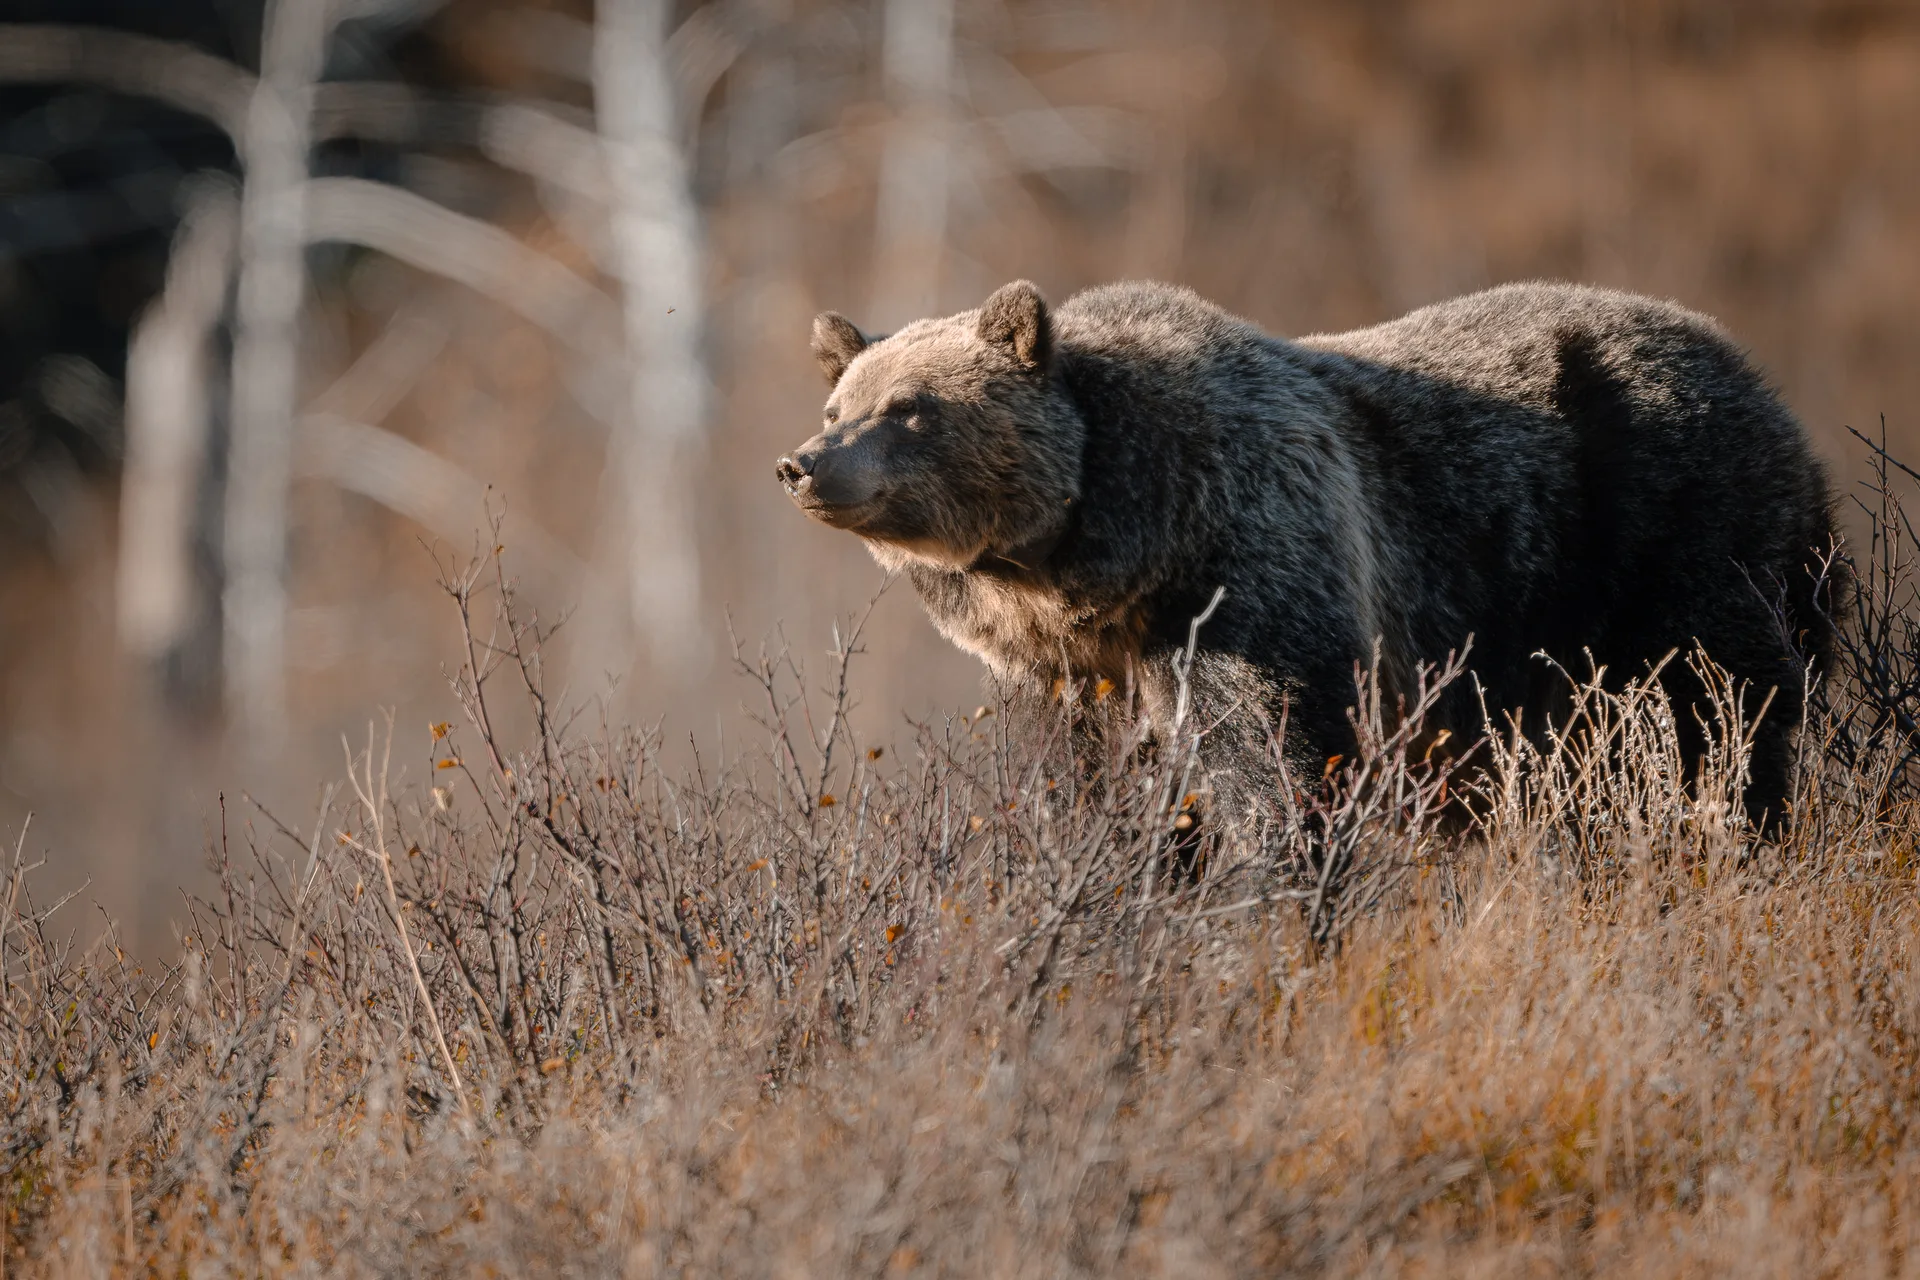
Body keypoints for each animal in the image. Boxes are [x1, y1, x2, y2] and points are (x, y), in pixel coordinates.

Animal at [776, 278, 1834, 829]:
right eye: (838, 404)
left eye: (909, 407)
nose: (804, 463)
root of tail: (1752, 368)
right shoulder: (1077, 671)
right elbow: (1091, 774)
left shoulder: (1254, 572)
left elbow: (1273, 755)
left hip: (1673, 520)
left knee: (1718, 699)